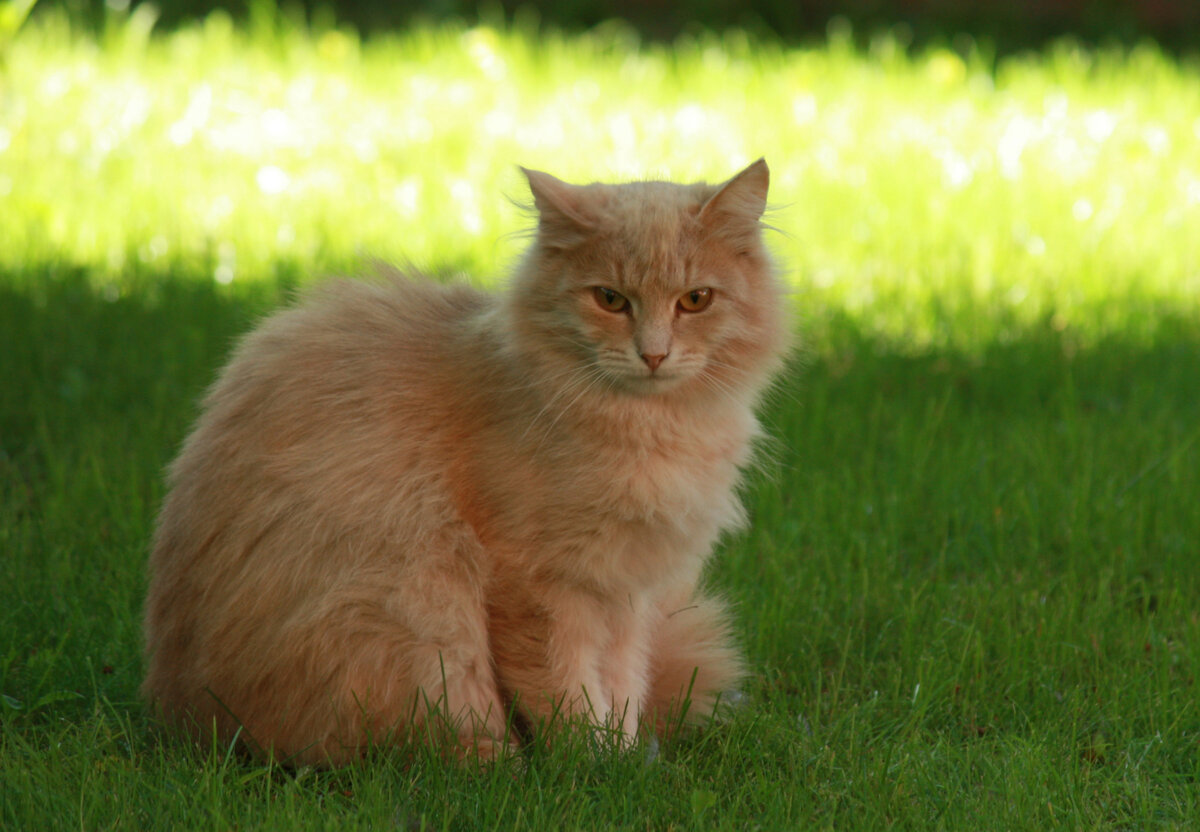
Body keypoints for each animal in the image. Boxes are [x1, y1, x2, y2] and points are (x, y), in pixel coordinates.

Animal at [140, 158, 792, 763]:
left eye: (696, 300)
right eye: (610, 299)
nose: (653, 355)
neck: (650, 427)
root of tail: (180, 716)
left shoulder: (629, 590)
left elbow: (624, 684)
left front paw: (627, 758)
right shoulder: (541, 585)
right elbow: (567, 689)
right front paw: (593, 765)